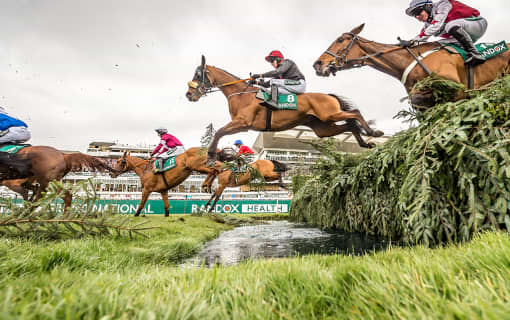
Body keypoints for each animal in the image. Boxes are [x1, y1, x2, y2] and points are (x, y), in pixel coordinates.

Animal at [184, 55, 382, 164]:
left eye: (198, 74)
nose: (188, 94)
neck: (241, 94)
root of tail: (329, 95)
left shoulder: (242, 123)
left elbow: (218, 132)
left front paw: (211, 157)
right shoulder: (242, 125)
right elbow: (220, 133)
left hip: (330, 114)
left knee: (355, 114)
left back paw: (374, 132)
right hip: (323, 128)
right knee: (350, 125)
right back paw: (365, 143)